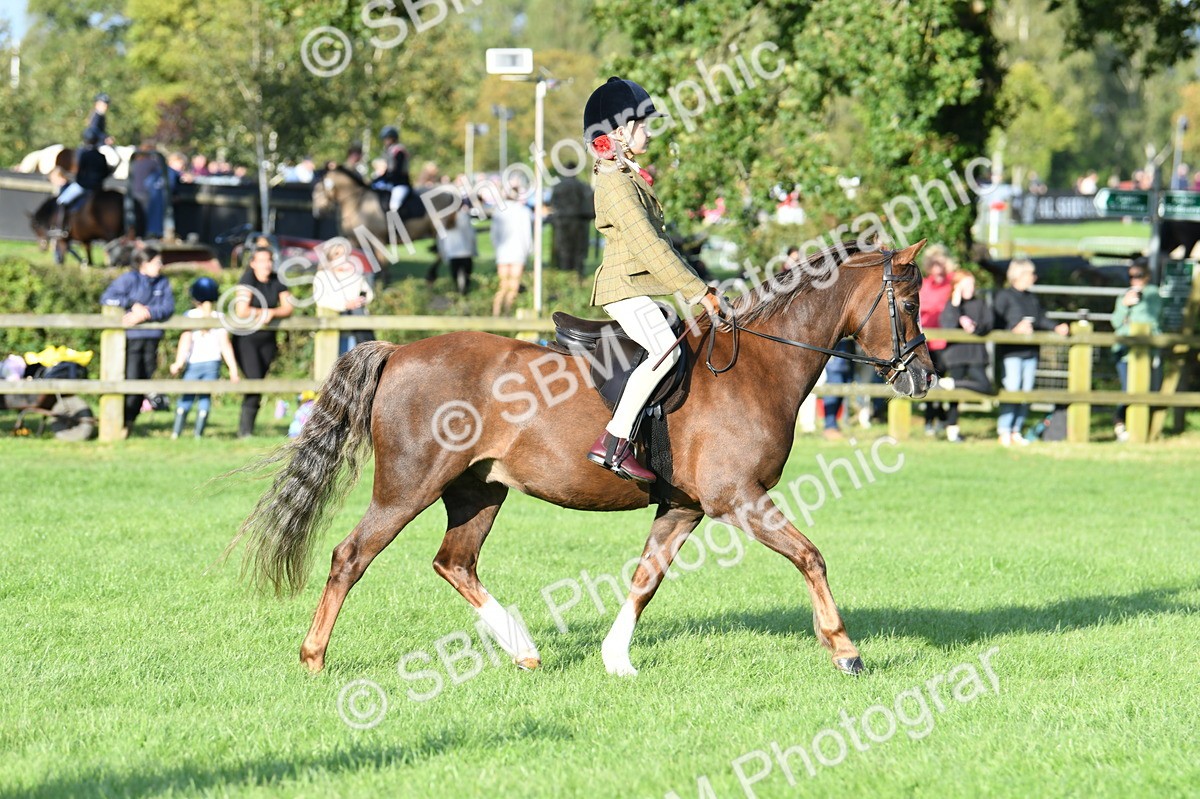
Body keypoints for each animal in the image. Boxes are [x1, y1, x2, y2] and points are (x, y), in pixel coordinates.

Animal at [230, 240, 935, 678]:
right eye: (907, 303)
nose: (923, 377)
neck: (756, 365)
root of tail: (399, 351)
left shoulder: (684, 507)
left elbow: (646, 578)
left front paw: (617, 659)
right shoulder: (738, 498)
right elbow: (810, 556)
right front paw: (844, 650)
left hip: (478, 490)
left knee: (453, 562)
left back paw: (524, 650)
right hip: (406, 488)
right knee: (351, 557)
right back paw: (314, 659)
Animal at [312, 167, 462, 262]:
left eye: (319, 189)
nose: (318, 213)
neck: (358, 203)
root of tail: (449, 193)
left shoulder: (378, 239)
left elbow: (382, 263)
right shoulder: (354, 240)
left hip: (438, 232)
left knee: (441, 256)